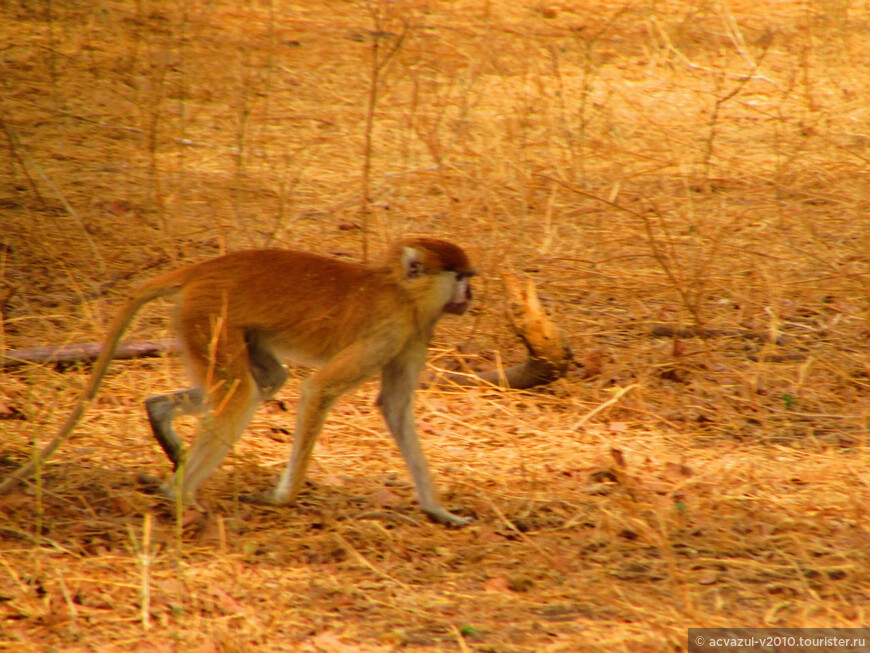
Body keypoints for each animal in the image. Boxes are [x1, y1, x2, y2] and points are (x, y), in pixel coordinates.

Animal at [1, 238, 476, 524]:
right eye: (460, 277)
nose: (470, 296)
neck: (401, 289)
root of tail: (202, 270)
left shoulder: (415, 331)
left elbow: (394, 407)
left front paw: (439, 511)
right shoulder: (392, 327)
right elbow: (319, 390)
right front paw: (281, 499)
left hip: (220, 323)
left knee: (265, 381)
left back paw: (160, 415)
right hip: (208, 313)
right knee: (241, 393)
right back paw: (180, 496)